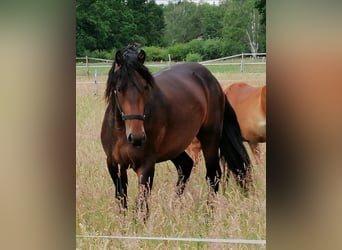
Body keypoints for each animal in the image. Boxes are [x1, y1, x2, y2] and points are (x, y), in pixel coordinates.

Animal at [100, 46, 250, 218]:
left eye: (145, 87)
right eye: (118, 89)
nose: (137, 138)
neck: (121, 133)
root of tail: (212, 81)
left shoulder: (146, 166)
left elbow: (142, 206)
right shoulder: (114, 165)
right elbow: (122, 200)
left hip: (210, 138)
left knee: (213, 175)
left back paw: (208, 215)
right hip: (175, 147)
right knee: (186, 166)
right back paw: (174, 207)